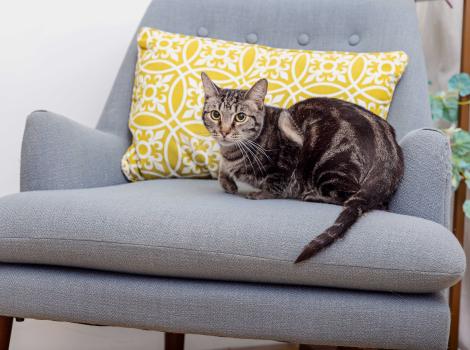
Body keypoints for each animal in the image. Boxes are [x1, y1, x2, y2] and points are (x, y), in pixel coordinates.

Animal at [200, 72, 402, 262]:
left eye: (240, 117)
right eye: (215, 114)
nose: (224, 132)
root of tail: (389, 151)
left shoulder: (289, 147)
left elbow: (276, 183)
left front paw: (259, 193)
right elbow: (224, 167)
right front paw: (228, 181)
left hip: (328, 167)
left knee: (360, 200)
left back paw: (312, 195)